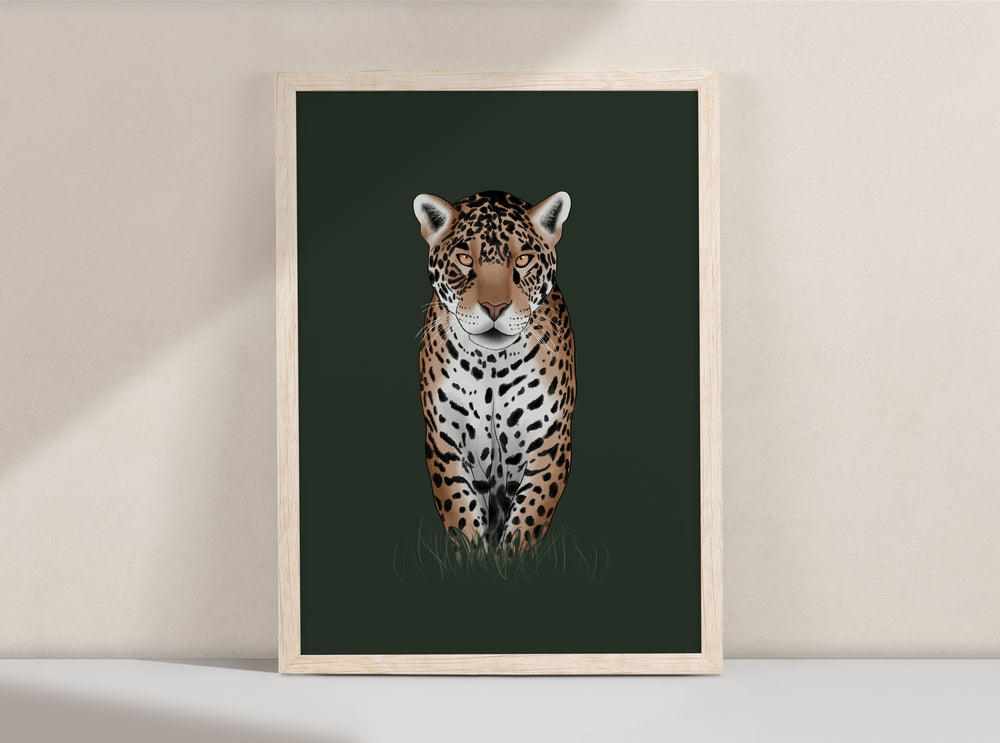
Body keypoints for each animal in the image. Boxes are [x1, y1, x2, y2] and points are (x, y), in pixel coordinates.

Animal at [413, 190, 576, 551]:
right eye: (464, 258)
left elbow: (526, 523)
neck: (491, 364)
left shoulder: (550, 442)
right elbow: (462, 519)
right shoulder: (445, 440)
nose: (494, 307)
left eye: (523, 260)